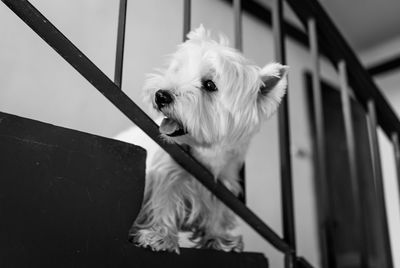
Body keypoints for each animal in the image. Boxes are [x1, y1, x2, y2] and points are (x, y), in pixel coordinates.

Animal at [115, 26, 288, 254]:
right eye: (179, 69)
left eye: (209, 84)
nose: (161, 96)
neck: (206, 153)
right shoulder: (165, 174)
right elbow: (163, 201)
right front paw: (159, 236)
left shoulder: (222, 187)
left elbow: (216, 214)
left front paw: (220, 240)